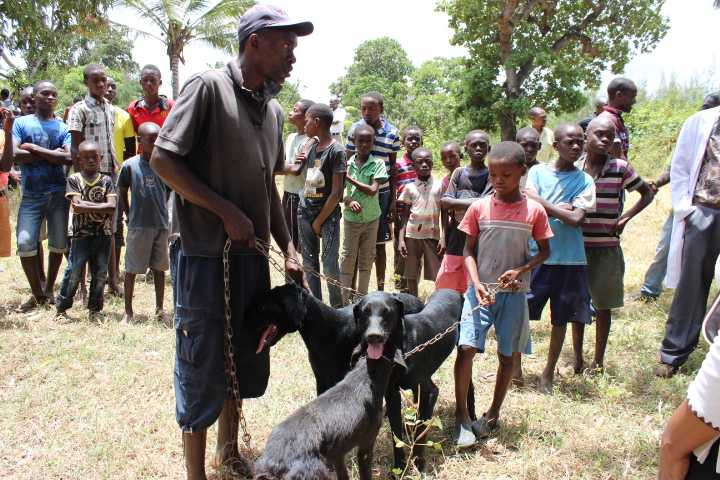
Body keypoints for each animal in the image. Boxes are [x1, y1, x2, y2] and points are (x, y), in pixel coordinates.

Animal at [249, 284, 424, 394]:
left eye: (263, 307)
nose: (245, 319)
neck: (325, 328)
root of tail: (419, 300)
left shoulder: (338, 375)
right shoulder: (320, 377)